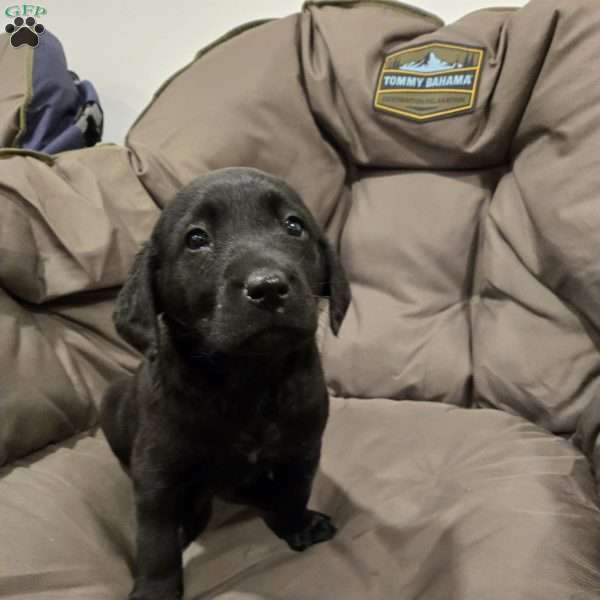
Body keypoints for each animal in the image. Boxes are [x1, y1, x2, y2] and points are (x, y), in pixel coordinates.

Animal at [99, 168, 352, 600]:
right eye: (196, 239)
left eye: (293, 226)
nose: (268, 287)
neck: (249, 380)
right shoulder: (156, 473)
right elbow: (156, 542)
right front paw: (155, 590)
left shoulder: (302, 449)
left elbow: (295, 493)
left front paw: (296, 526)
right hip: (111, 402)